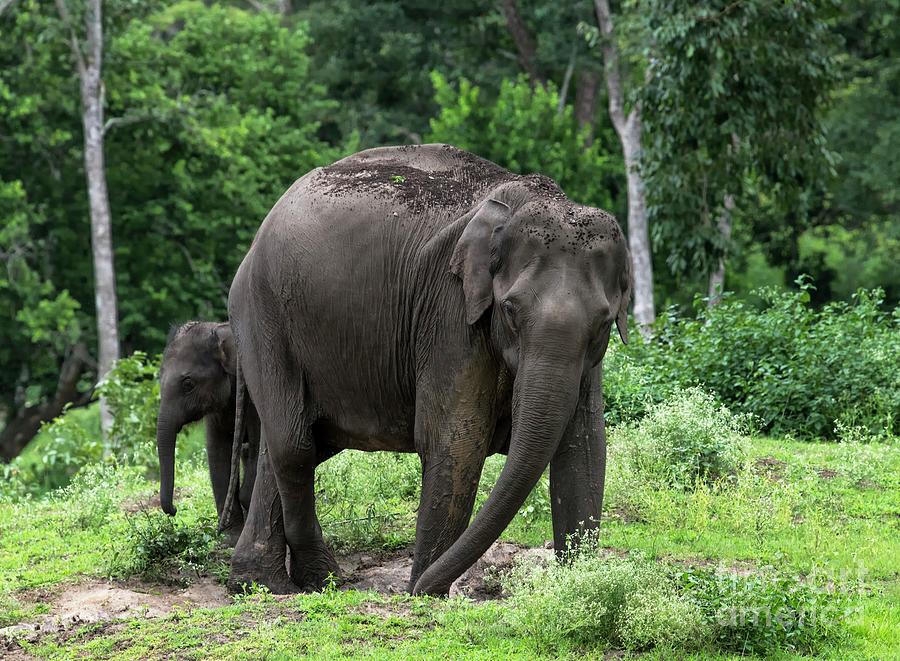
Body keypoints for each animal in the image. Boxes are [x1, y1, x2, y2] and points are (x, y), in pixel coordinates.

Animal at [227, 143, 632, 592]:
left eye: (603, 323)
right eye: (510, 310)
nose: (418, 587)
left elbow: (584, 447)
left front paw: (579, 584)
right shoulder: (450, 310)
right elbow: (456, 439)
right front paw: (425, 592)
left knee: (295, 443)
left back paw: (261, 583)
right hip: (263, 315)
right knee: (294, 443)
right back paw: (318, 578)